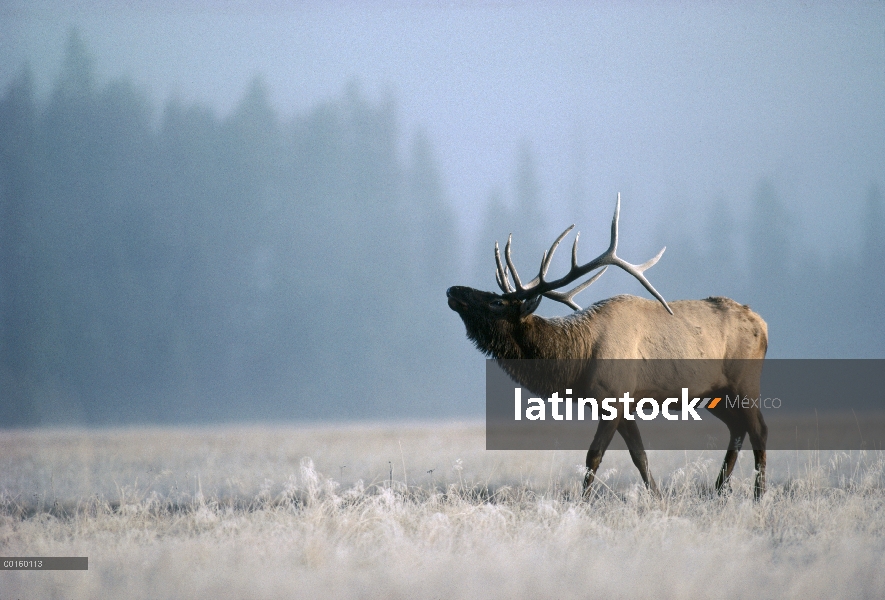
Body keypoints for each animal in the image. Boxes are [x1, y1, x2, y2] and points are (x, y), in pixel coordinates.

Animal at [448, 195, 768, 500]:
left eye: (496, 302)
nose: (453, 289)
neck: (578, 359)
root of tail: (762, 323)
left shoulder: (614, 398)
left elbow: (594, 455)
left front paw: (583, 502)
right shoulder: (622, 405)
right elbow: (640, 456)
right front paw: (658, 498)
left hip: (744, 382)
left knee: (759, 431)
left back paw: (758, 495)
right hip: (714, 394)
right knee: (737, 428)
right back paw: (718, 490)